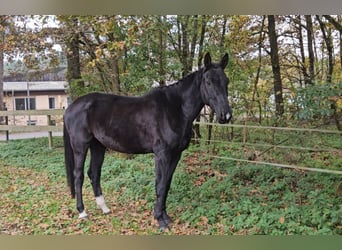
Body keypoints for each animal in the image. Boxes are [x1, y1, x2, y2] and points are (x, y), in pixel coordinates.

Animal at [63, 52, 232, 229]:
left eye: (226, 81)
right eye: (209, 82)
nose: (225, 116)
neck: (175, 109)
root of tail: (71, 107)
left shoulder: (175, 154)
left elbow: (167, 184)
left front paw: (165, 217)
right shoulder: (162, 154)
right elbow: (160, 184)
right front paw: (160, 220)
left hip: (98, 146)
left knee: (94, 173)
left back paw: (104, 208)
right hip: (80, 147)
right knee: (78, 175)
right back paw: (82, 212)